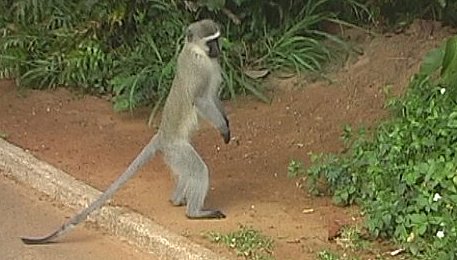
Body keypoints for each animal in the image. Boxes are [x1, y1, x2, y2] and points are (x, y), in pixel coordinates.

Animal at [20, 19, 230, 245]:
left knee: (185, 172)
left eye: (217, 39)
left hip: (174, 153)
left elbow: (214, 98)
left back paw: (176, 200)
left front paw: (227, 123)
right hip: (177, 149)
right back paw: (195, 213)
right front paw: (223, 128)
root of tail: (162, 134)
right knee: (198, 170)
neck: (198, 52)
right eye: (210, 41)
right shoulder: (199, 70)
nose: (218, 50)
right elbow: (201, 100)